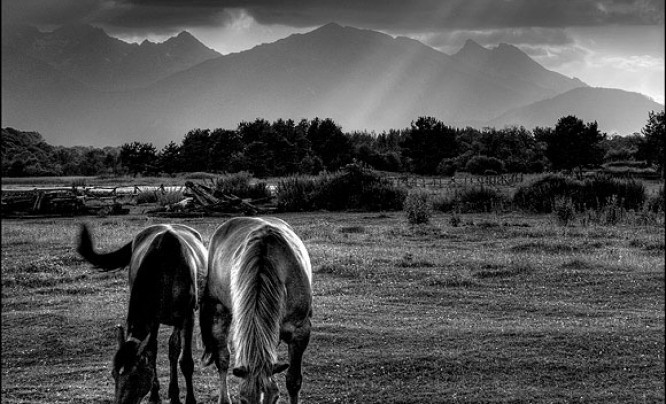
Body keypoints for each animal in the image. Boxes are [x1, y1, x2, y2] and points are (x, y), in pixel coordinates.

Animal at [76, 224, 205, 404]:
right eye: (113, 374)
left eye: (135, 376)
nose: (121, 403)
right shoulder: (154, 319)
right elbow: (152, 352)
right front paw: (155, 395)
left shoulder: (188, 316)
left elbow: (185, 360)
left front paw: (189, 399)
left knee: (174, 350)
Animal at [200, 218, 312, 404]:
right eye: (243, 400)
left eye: (275, 398)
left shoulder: (301, 331)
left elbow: (293, 381)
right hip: (219, 311)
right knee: (223, 359)